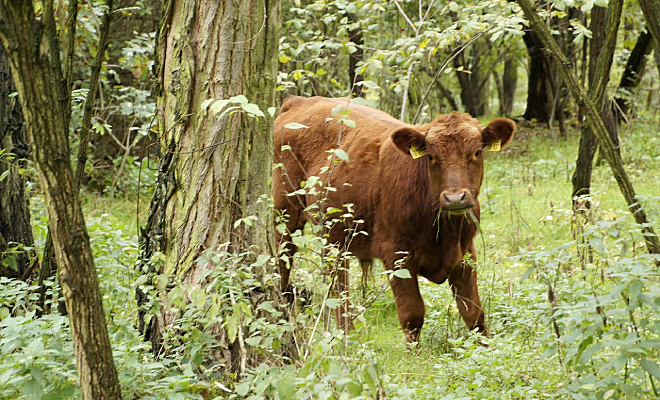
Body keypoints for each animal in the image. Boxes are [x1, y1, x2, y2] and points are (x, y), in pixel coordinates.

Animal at [274, 95, 516, 342]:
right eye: (431, 156)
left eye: (477, 152)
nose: (455, 197)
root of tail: (300, 100)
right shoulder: (396, 254)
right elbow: (412, 315)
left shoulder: (465, 253)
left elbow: (474, 314)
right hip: (285, 213)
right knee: (284, 259)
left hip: (335, 236)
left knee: (338, 283)